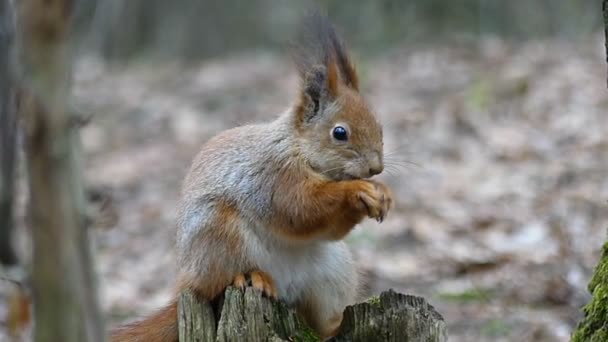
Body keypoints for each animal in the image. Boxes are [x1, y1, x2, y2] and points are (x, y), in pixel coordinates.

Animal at [111, 12, 392, 340]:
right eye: (339, 133)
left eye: (380, 127)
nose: (375, 167)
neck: (299, 149)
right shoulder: (272, 176)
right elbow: (298, 209)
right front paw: (358, 190)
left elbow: (328, 228)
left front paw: (382, 193)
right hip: (220, 235)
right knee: (216, 283)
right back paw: (252, 277)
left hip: (332, 274)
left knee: (318, 322)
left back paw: (332, 327)